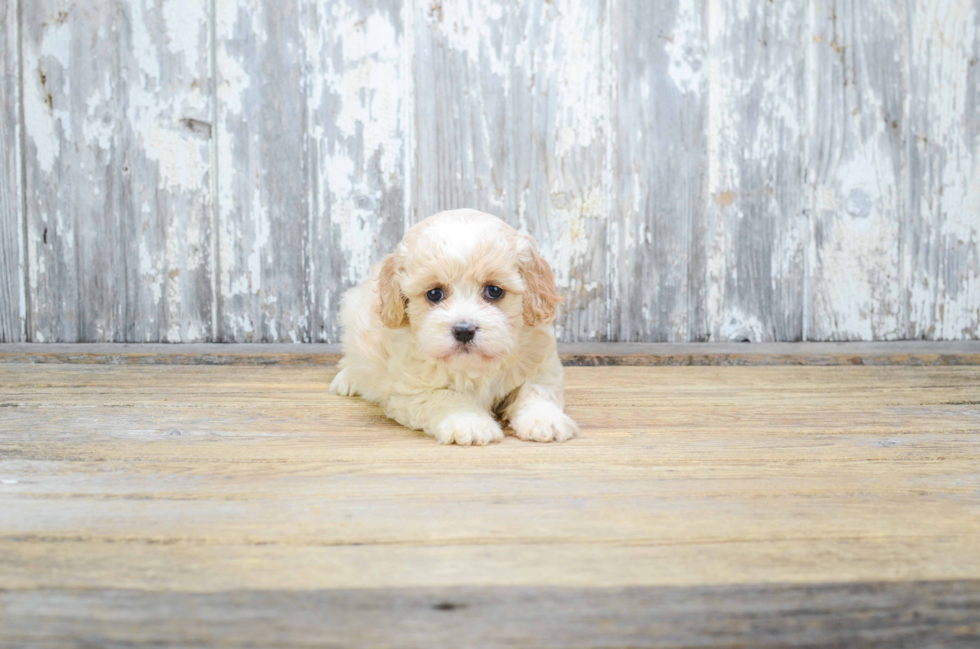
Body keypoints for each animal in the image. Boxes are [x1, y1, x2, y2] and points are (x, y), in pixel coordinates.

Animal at [332, 208, 576, 446]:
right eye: (434, 293)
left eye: (494, 291)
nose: (464, 331)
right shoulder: (413, 390)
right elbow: (447, 398)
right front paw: (470, 423)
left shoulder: (540, 365)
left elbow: (535, 389)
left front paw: (545, 419)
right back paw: (347, 379)